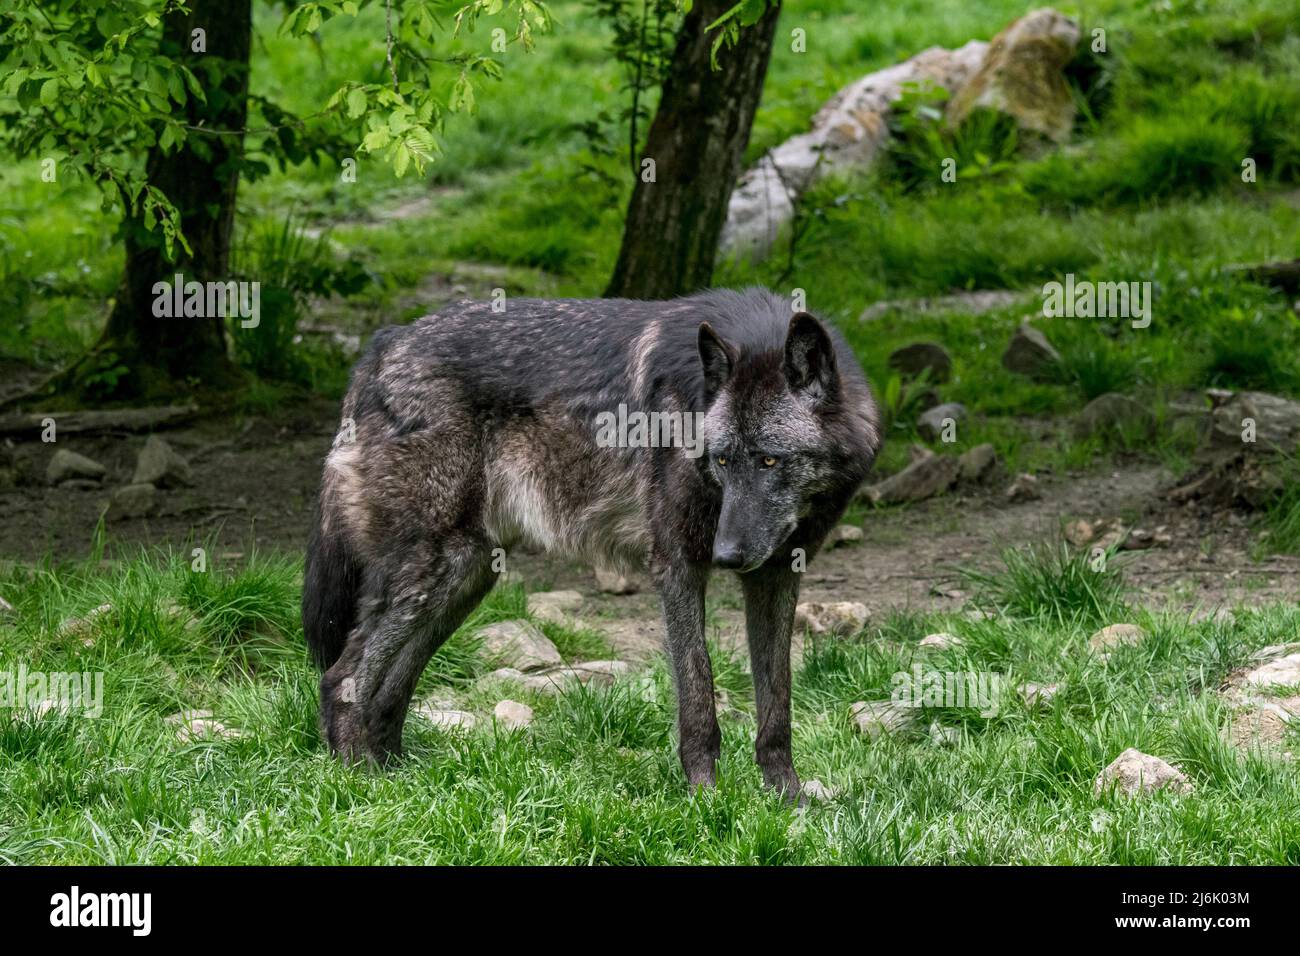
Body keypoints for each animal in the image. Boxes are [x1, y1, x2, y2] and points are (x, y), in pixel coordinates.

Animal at [299, 287, 878, 796]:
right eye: (721, 460)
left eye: (770, 460)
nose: (727, 555)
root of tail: (384, 344)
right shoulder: (678, 564)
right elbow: (698, 697)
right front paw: (707, 799)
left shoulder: (776, 575)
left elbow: (777, 706)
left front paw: (787, 799)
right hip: (433, 569)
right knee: (342, 680)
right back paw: (363, 785)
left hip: (465, 575)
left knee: (388, 689)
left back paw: (400, 779)